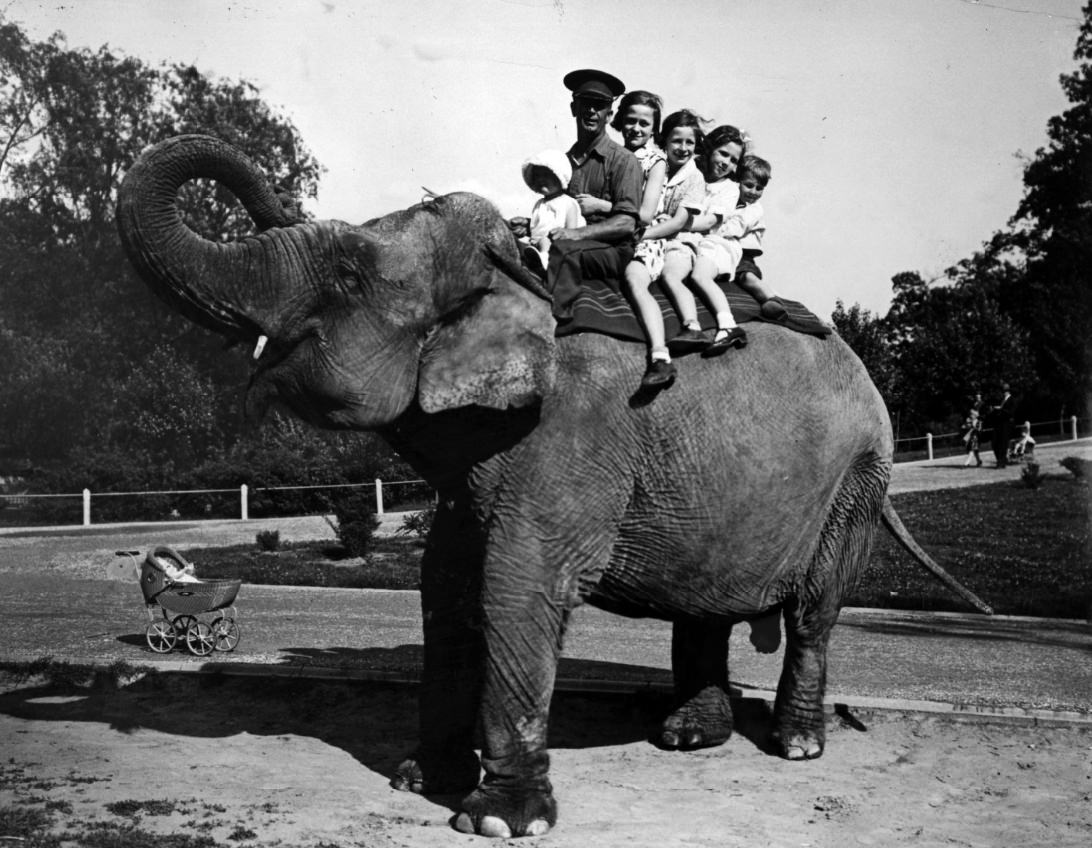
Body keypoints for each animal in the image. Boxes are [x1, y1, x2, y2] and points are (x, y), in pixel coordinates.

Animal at [117, 135, 991, 838]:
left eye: (347, 274)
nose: (270, 191)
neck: (519, 282)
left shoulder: (567, 434)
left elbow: (516, 583)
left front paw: (498, 822)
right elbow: (446, 585)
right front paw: (419, 780)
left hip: (858, 475)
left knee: (813, 610)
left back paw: (797, 744)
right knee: (705, 605)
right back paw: (687, 738)